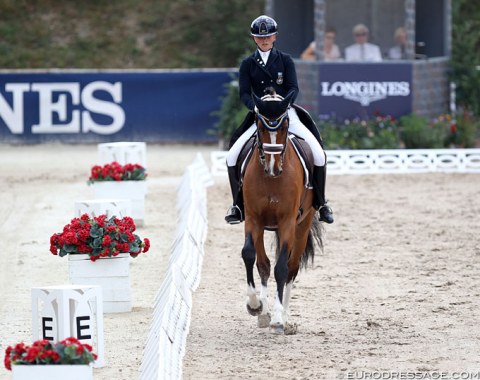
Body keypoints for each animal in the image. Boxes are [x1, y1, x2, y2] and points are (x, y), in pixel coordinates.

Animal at [240, 90, 322, 334]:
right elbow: (250, 255)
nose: (273, 167)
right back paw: (264, 313)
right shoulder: (253, 218)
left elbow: (282, 268)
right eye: (260, 126)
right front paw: (255, 306)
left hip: (302, 226)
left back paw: (284, 317)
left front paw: (278, 319)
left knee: (292, 269)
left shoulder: (288, 222)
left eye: (285, 126)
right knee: (263, 264)